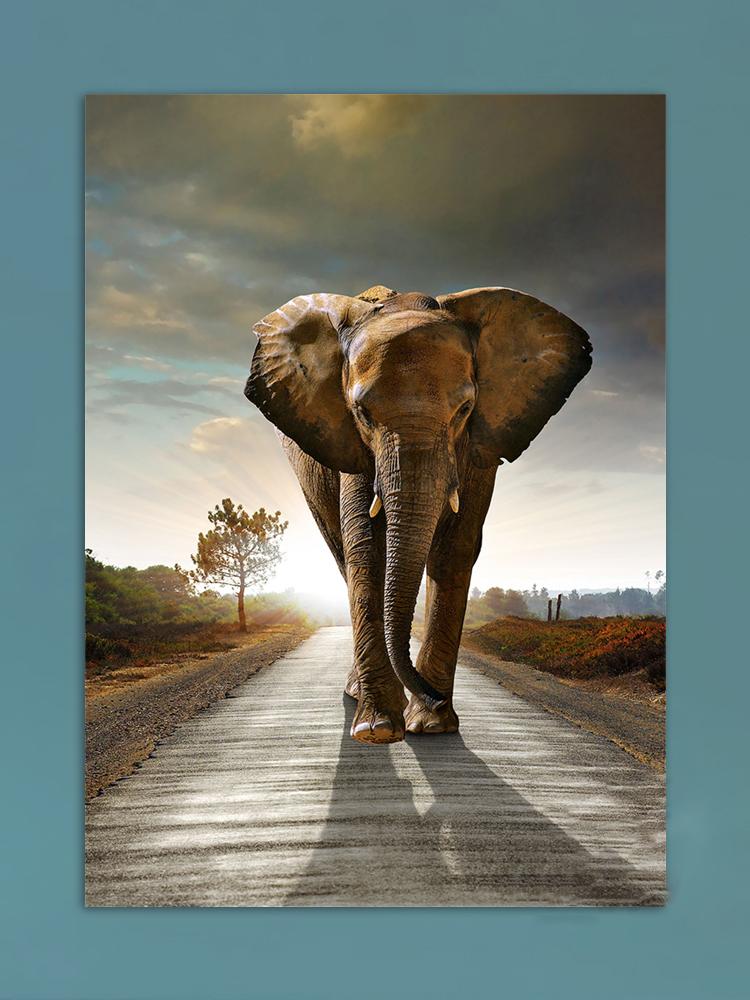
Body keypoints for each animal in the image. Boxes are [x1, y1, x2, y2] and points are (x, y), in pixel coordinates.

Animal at [245, 284, 591, 744]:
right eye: (362, 413)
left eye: (464, 409)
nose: (433, 696)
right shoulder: (353, 447)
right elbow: (366, 549)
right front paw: (378, 730)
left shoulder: (479, 446)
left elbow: (455, 548)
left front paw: (432, 725)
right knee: (342, 555)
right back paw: (359, 696)